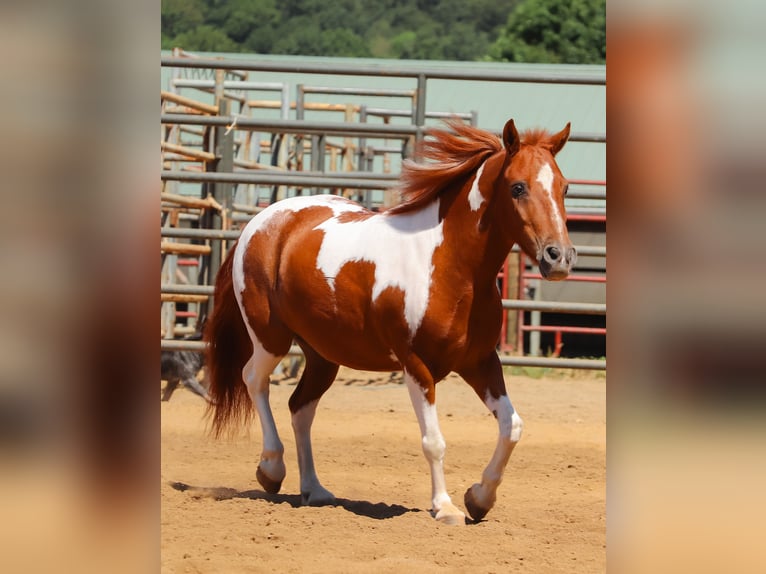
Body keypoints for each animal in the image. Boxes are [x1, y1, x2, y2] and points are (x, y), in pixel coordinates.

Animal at [203, 118, 575, 525]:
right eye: (518, 187)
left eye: (564, 186)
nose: (559, 257)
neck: (449, 265)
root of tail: (260, 223)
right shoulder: (417, 365)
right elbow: (434, 441)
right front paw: (445, 507)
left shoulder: (479, 361)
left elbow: (512, 427)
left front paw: (479, 498)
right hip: (270, 338)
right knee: (254, 379)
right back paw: (271, 470)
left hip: (323, 355)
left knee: (301, 408)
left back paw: (314, 490)